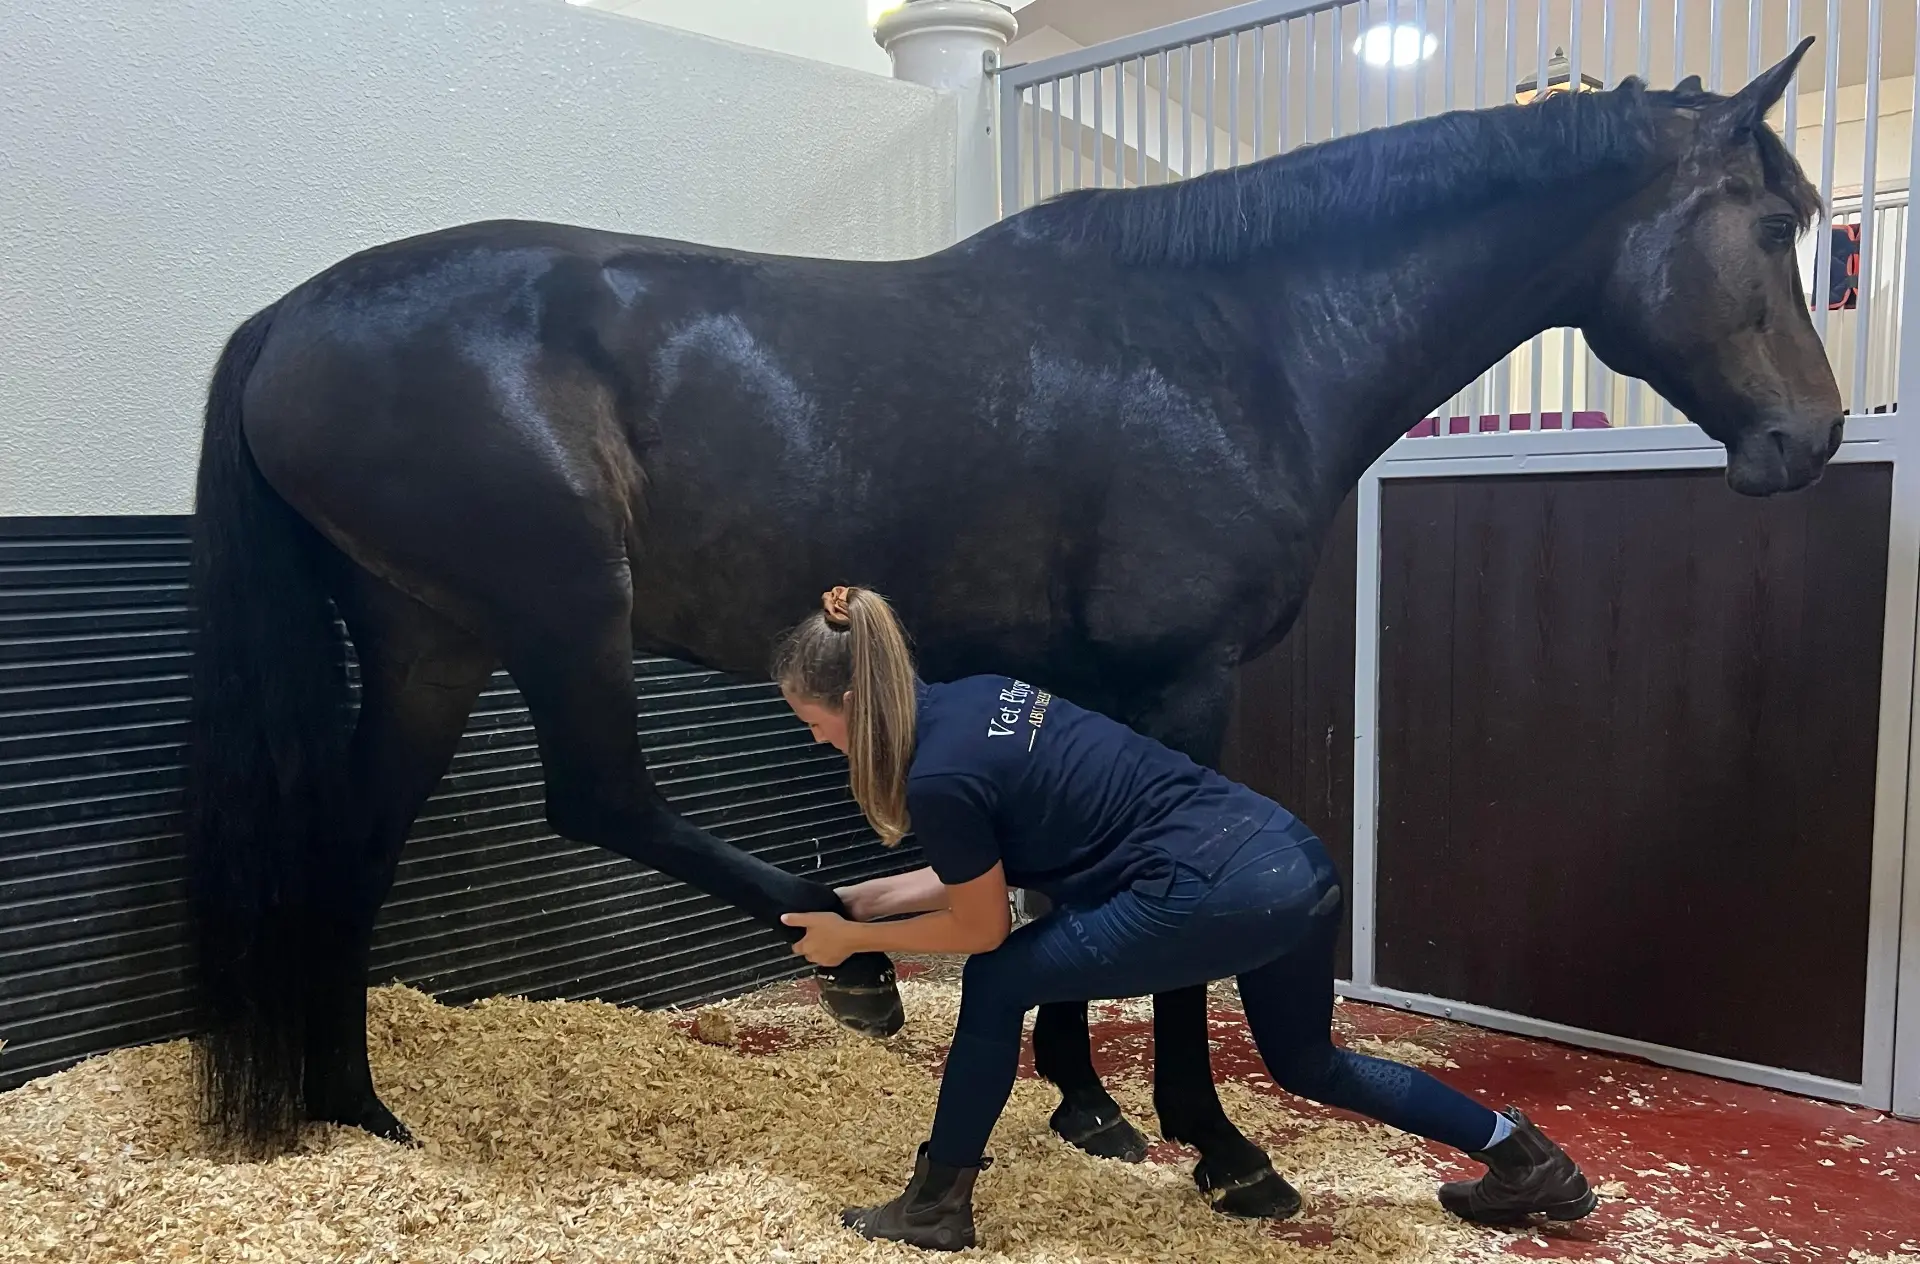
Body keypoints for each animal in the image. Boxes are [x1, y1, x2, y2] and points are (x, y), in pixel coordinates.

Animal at [184, 43, 1838, 1215]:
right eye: (1774, 224)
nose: (1811, 441)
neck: (1235, 339)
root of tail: (287, 317)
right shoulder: (1185, 682)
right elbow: (1169, 939)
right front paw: (1215, 1145)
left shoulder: (1081, 681)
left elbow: (1071, 889)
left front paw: (1084, 1105)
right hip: (557, 617)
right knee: (600, 798)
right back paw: (849, 969)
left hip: (426, 639)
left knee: (356, 845)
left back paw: (357, 1110)